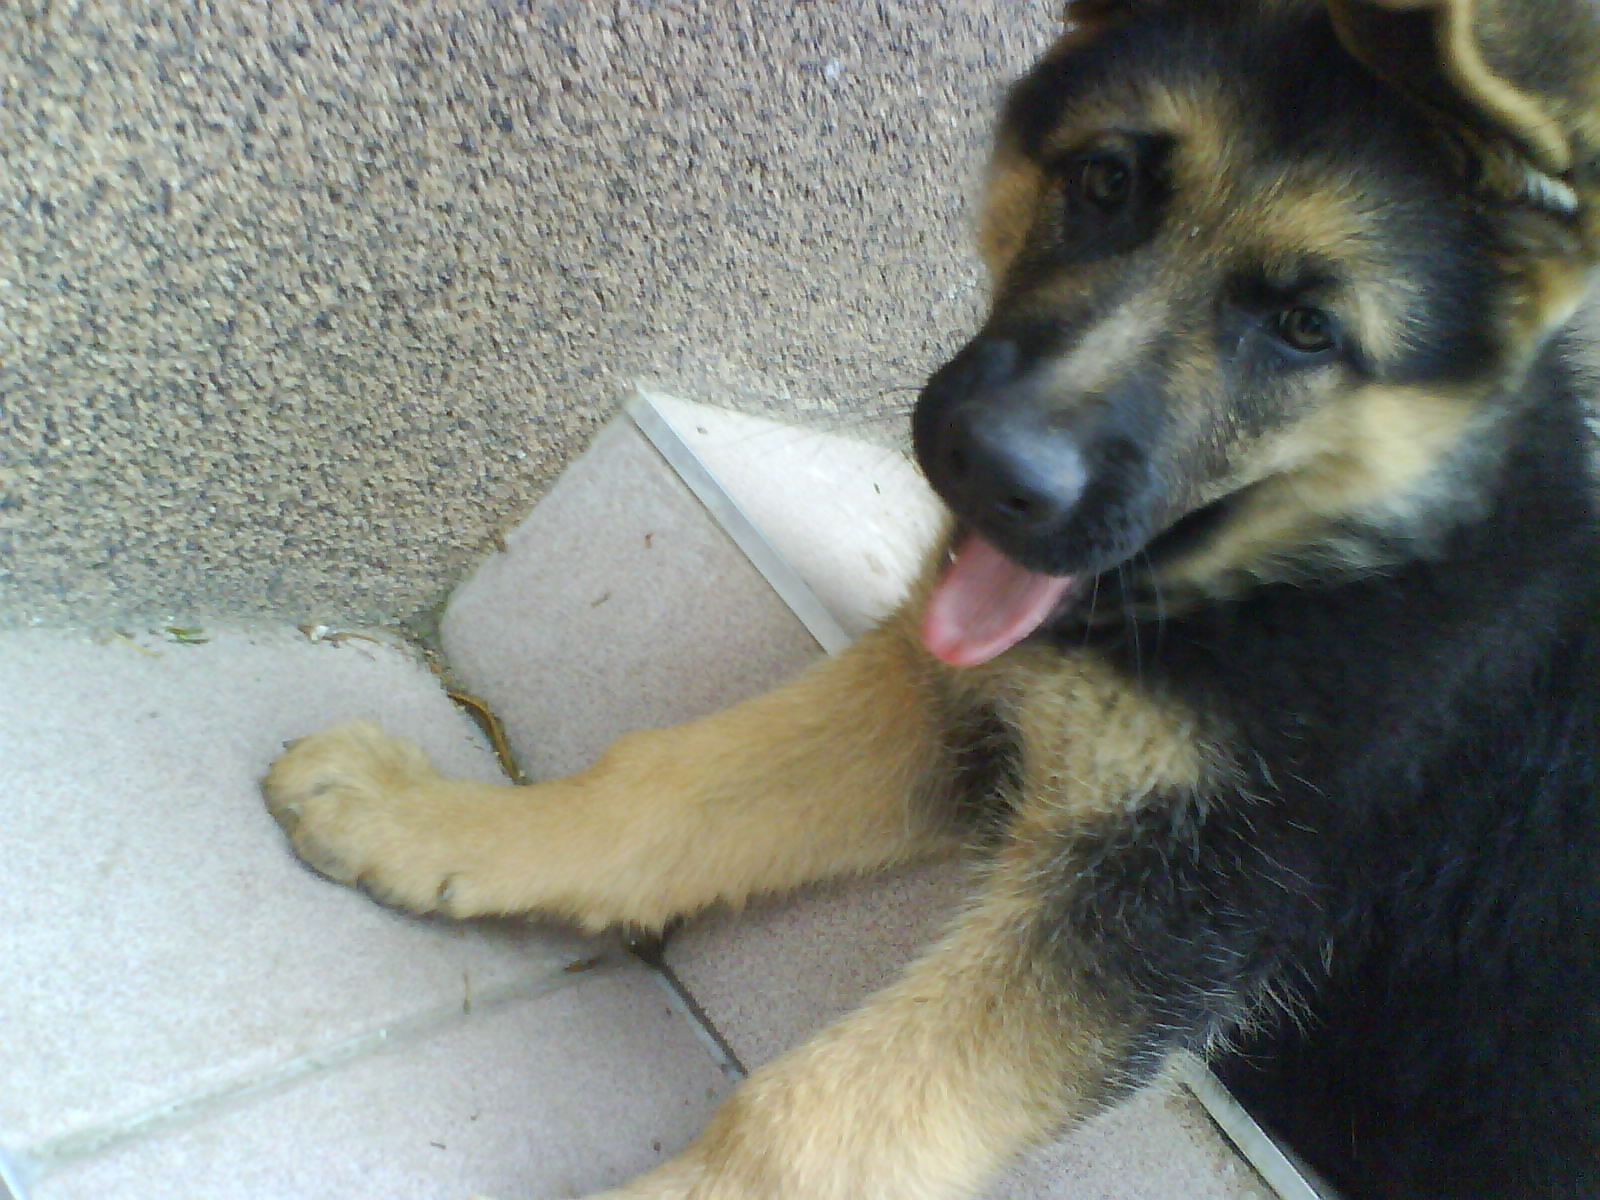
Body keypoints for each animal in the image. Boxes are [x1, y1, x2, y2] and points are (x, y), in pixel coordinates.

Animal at [263, 1, 1600, 1196]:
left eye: (1307, 329)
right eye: (1106, 181)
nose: (991, 471)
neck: (1345, 562)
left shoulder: (1173, 907)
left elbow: (821, 1119)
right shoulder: (964, 702)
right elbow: (664, 786)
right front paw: (436, 822)